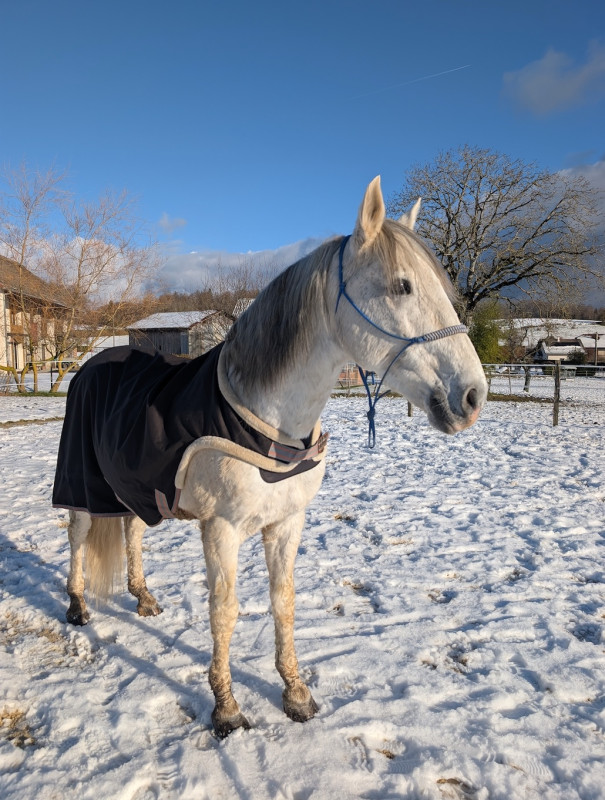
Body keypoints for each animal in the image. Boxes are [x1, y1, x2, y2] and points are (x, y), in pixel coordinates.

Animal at [56, 176, 487, 738]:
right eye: (402, 286)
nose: (472, 396)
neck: (265, 415)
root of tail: (90, 364)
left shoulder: (286, 523)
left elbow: (283, 603)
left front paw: (296, 694)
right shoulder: (221, 530)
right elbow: (225, 611)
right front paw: (226, 708)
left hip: (131, 486)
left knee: (130, 531)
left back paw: (143, 597)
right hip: (82, 484)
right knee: (79, 537)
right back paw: (78, 607)